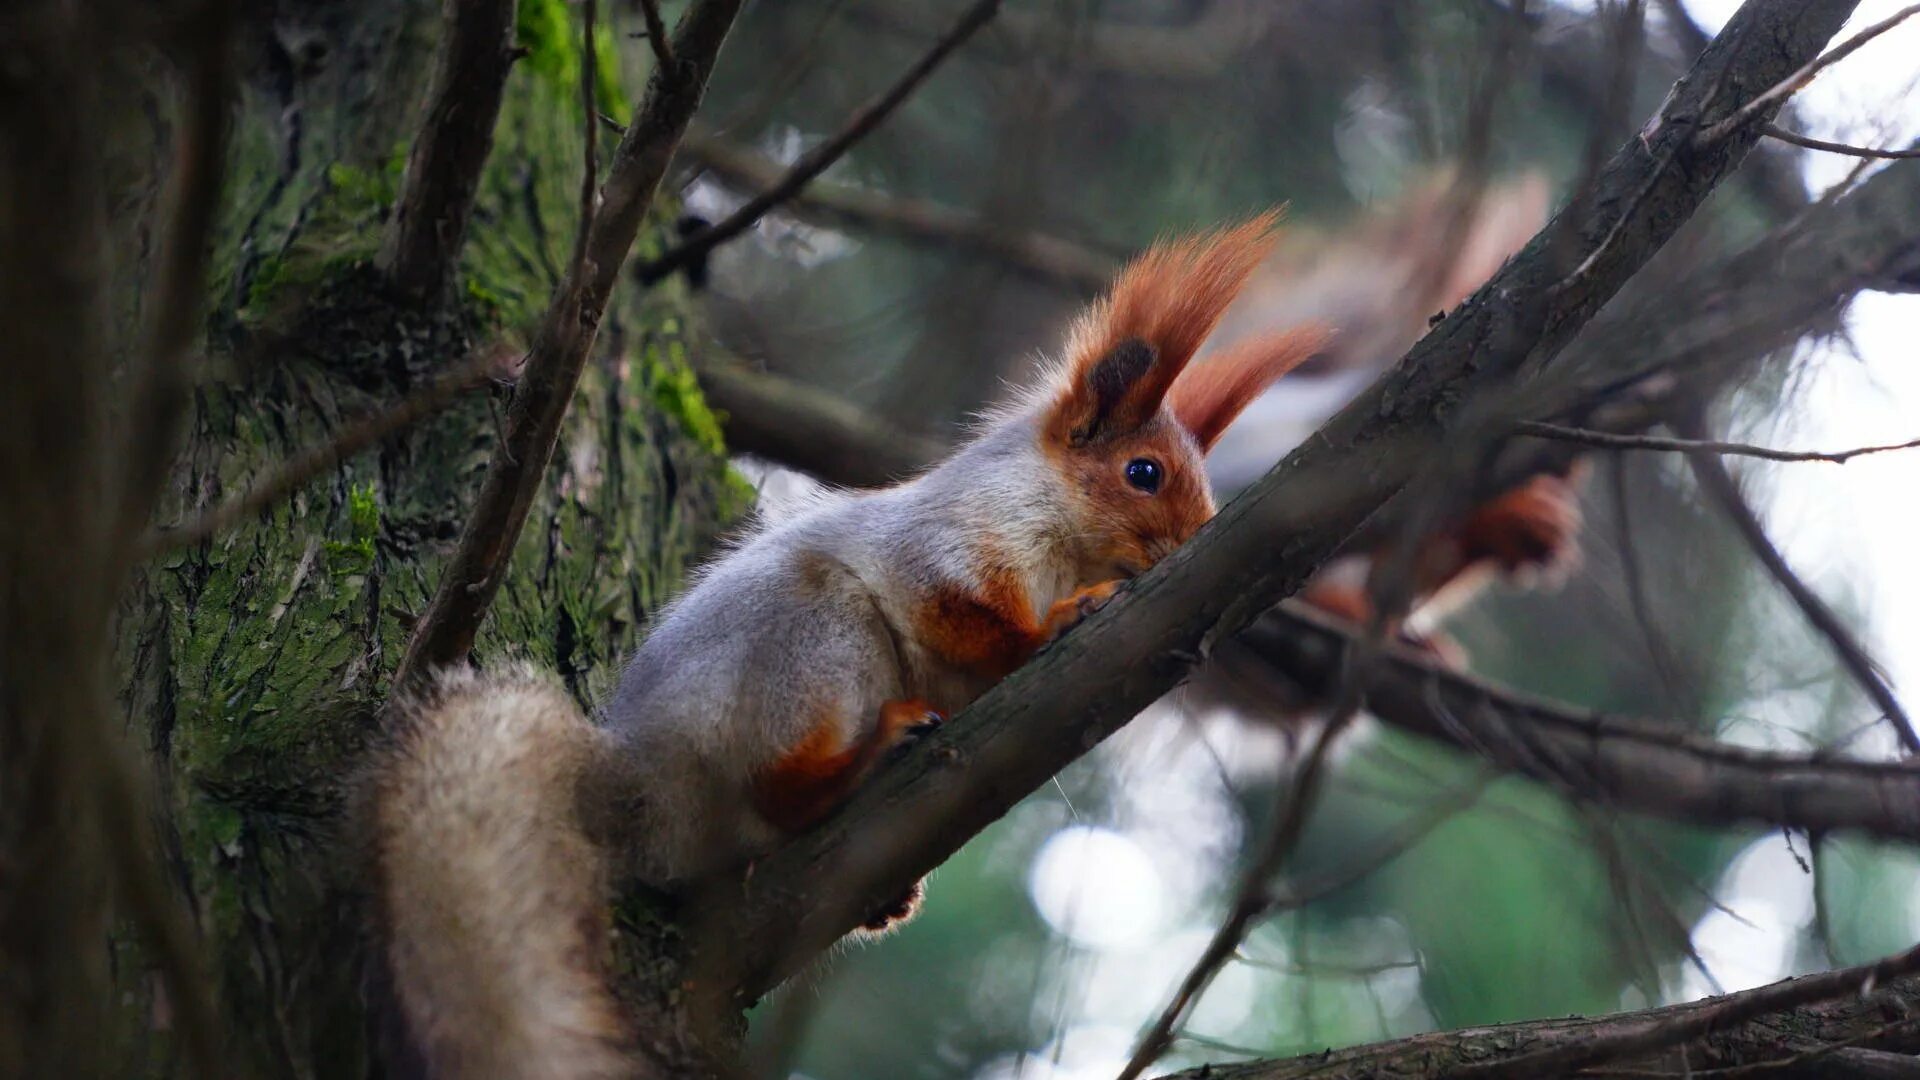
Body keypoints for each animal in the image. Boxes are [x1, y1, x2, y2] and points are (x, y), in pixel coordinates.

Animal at [370, 212, 1336, 1076]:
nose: (1198, 537)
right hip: (815, 644)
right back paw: (864, 757)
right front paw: (1054, 625)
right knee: (779, 783)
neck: (1060, 539)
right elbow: (963, 622)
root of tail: (635, 774)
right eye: (1143, 473)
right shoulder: (942, 551)